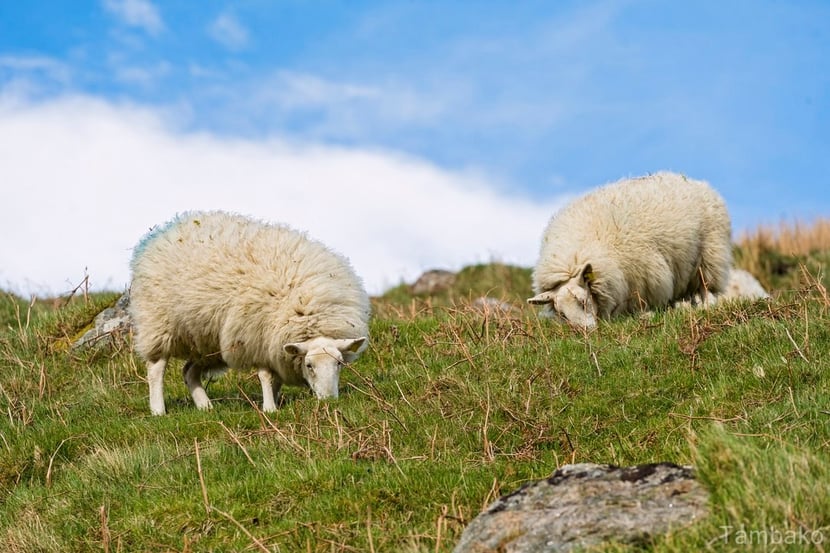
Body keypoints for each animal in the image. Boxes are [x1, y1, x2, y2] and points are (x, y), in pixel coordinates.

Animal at [129, 210, 370, 415]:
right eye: (309, 365)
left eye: (339, 363)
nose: (329, 400)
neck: (308, 311)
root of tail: (165, 231)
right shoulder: (257, 337)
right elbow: (265, 376)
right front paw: (270, 408)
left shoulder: (274, 346)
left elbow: (276, 378)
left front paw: (275, 399)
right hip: (159, 323)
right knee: (156, 368)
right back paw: (159, 410)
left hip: (207, 340)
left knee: (189, 372)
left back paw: (206, 407)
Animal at [527, 172, 732, 329]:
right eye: (562, 314)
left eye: (583, 301)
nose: (586, 332)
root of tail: (692, 181)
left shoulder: (646, 280)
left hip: (710, 255)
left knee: (707, 288)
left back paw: (707, 309)